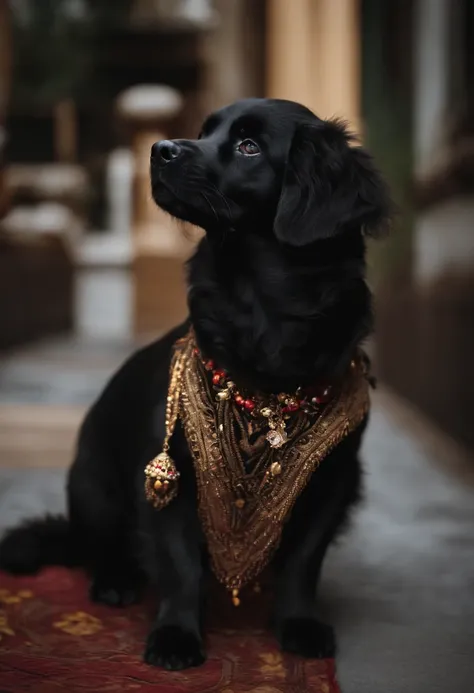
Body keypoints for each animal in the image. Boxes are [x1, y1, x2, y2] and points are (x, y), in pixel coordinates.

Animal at [0, 98, 390, 672]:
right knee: (100, 548)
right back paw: (115, 580)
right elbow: (179, 564)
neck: (266, 314)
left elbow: (304, 562)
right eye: (206, 131)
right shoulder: (167, 472)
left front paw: (298, 624)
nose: (160, 149)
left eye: (249, 146)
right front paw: (177, 635)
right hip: (93, 487)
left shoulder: (335, 479)